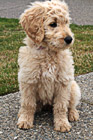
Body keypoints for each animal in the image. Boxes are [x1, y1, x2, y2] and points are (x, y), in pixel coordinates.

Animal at [17, 0, 81, 132]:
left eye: (66, 23)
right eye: (53, 24)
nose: (69, 39)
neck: (48, 52)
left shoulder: (63, 83)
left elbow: (61, 106)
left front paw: (62, 124)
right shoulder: (28, 81)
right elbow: (28, 104)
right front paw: (25, 120)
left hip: (73, 88)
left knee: (71, 105)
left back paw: (73, 114)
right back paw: (21, 113)